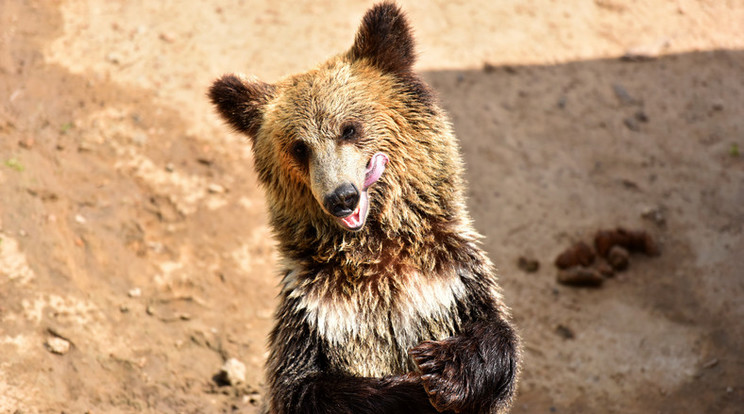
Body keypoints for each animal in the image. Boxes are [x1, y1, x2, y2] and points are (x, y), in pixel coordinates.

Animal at [208, 2, 524, 410]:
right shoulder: (316, 311)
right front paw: (410, 388)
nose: (341, 198)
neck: (376, 253)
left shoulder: (450, 281)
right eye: (299, 147)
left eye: (349, 128)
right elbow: (301, 387)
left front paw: (440, 367)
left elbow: (498, 340)